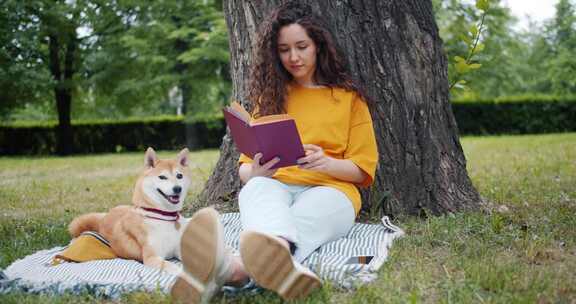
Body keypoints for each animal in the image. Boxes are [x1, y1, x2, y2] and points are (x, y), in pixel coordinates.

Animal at [69, 147, 191, 276]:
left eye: (179, 176)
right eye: (162, 177)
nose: (177, 188)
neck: (164, 216)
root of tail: (103, 219)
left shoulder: (179, 249)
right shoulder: (152, 257)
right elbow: (179, 270)